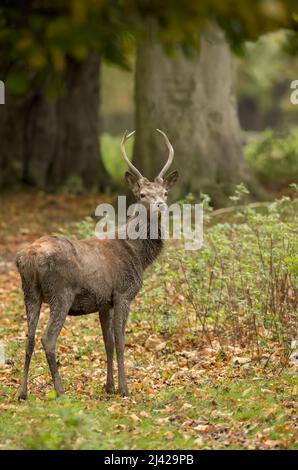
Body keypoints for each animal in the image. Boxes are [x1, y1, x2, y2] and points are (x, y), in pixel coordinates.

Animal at [16, 129, 178, 400]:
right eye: (142, 194)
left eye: (165, 193)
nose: (161, 206)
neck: (138, 256)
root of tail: (27, 257)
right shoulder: (123, 293)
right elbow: (121, 342)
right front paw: (124, 389)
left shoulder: (104, 301)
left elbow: (108, 343)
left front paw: (109, 387)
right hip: (61, 293)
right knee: (47, 338)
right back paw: (60, 391)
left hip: (30, 293)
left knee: (28, 337)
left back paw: (22, 392)